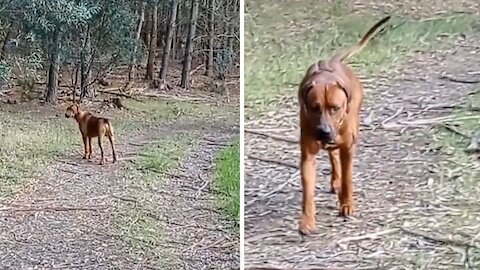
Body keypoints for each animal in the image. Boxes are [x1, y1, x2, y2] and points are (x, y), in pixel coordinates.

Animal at [296, 15, 390, 234]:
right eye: (314, 107)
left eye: (335, 108)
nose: (324, 130)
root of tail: (333, 61)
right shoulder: (308, 155)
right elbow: (308, 190)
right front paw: (307, 220)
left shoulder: (348, 147)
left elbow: (348, 177)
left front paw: (347, 204)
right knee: (332, 156)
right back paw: (335, 180)